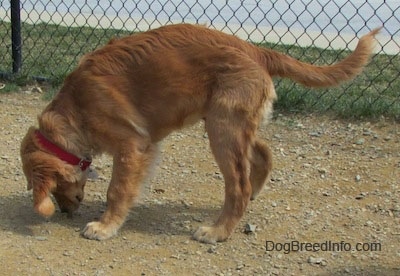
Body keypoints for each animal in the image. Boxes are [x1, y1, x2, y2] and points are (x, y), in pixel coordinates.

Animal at [20, 23, 380, 244]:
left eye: (53, 189)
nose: (64, 212)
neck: (74, 107)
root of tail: (255, 50)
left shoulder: (133, 146)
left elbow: (117, 190)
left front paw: (105, 226)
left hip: (222, 129)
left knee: (238, 185)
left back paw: (219, 231)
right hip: (229, 124)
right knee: (263, 155)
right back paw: (251, 196)